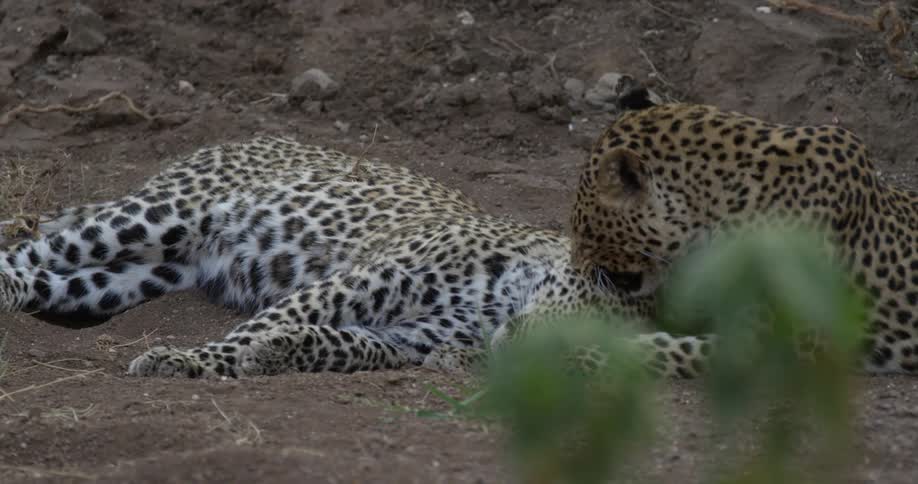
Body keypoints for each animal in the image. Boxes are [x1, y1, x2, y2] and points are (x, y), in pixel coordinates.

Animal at [0, 136, 712, 379]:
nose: (525, 349)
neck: (502, 300)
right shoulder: (359, 282)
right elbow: (260, 325)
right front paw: (188, 362)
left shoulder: (410, 338)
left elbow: (346, 346)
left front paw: (284, 354)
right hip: (158, 216)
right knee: (28, 249)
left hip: (136, 275)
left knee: (47, 277)